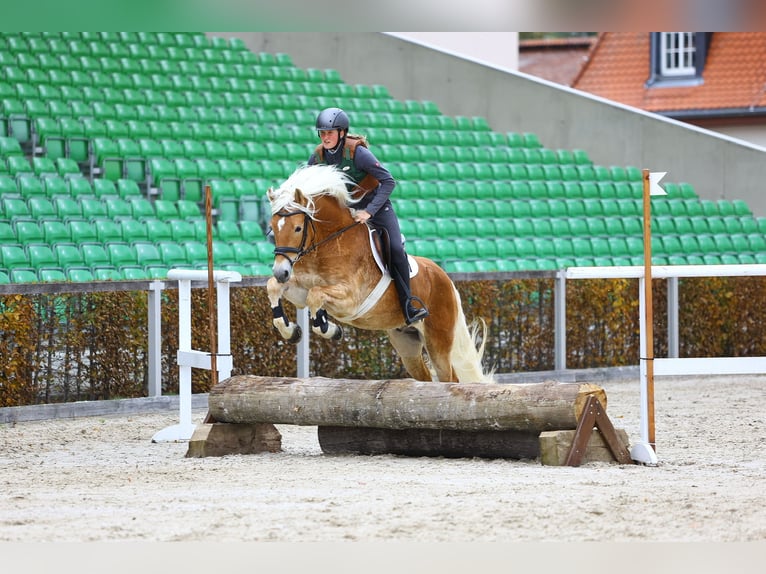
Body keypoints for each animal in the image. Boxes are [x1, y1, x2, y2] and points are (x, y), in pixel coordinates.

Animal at [264, 164, 492, 384]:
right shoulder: (301, 291)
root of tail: (446, 279)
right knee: (425, 377)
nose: (281, 271)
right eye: (272, 228)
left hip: (438, 340)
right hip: (406, 342)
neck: (328, 243)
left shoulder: (350, 299)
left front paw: (330, 329)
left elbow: (316, 295)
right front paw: (292, 331)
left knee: (450, 378)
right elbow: (276, 287)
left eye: (297, 228)